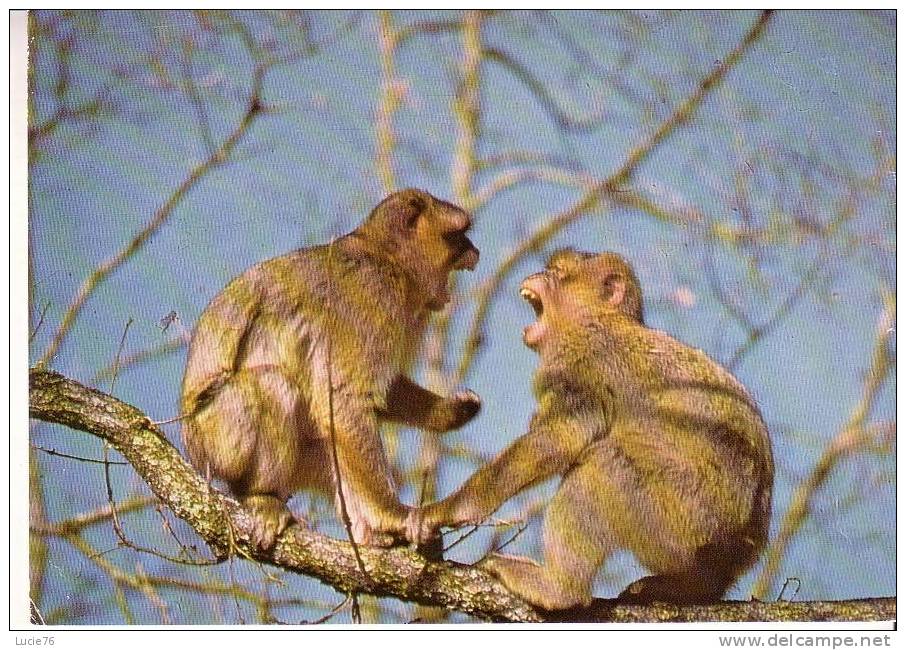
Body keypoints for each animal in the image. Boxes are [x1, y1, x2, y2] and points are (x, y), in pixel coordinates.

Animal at [180, 187, 484, 548]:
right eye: (457, 235)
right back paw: (261, 495)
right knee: (274, 384)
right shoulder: (372, 295)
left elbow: (383, 390)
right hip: (217, 440)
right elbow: (344, 397)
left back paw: (368, 532)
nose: (474, 251)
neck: (387, 258)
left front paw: (449, 413)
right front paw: (392, 514)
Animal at [408, 248, 768, 608]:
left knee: (602, 462)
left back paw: (560, 589)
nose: (538, 274)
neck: (598, 322)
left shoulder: (582, 368)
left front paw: (446, 511)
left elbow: (555, 442)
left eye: (558, 272)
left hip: (685, 526)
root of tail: (737, 555)